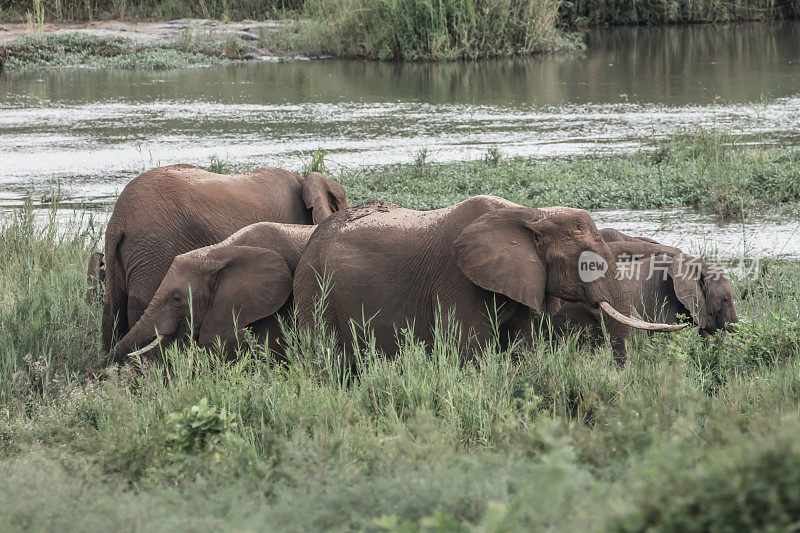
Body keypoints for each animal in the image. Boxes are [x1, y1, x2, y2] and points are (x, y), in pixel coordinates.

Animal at [294, 195, 680, 366]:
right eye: (586, 264)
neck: (531, 215)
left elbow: (522, 347)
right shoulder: (455, 279)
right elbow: (471, 351)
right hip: (313, 289)